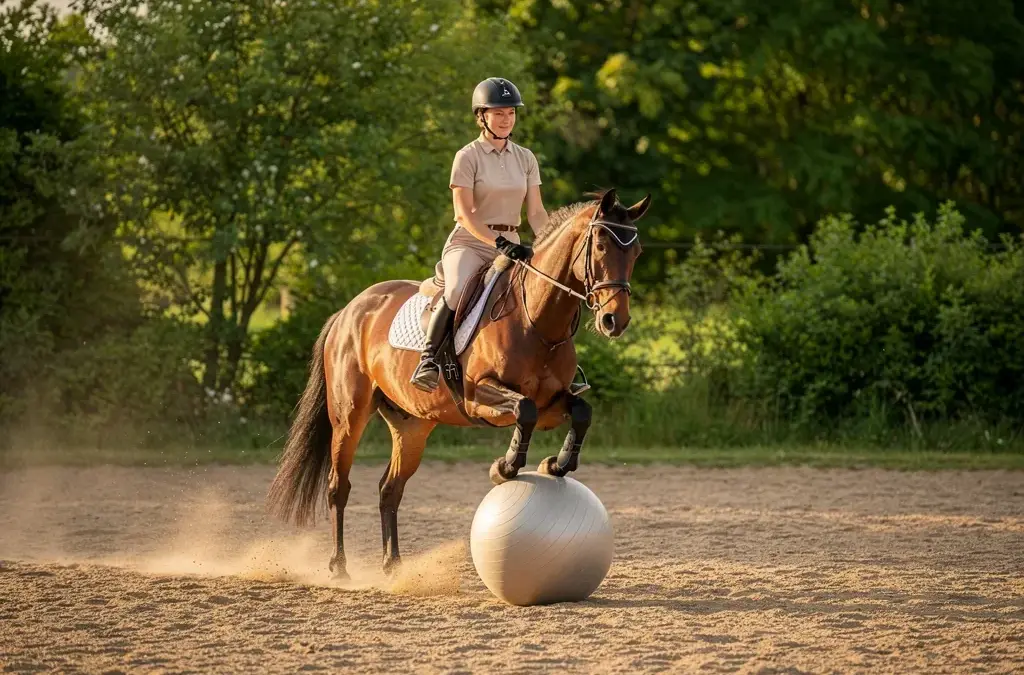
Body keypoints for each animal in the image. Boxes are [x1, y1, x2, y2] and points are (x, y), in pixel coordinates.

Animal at [266, 187, 651, 578]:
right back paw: (339, 567)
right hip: (349, 417)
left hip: (412, 426)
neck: (537, 322)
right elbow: (524, 409)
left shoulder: (553, 404)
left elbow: (581, 412)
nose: (614, 321)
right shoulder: (480, 396)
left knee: (390, 489)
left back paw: (394, 566)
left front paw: (554, 465)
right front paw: (504, 468)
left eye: (636, 252)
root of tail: (349, 311)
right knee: (338, 486)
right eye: (600, 245)